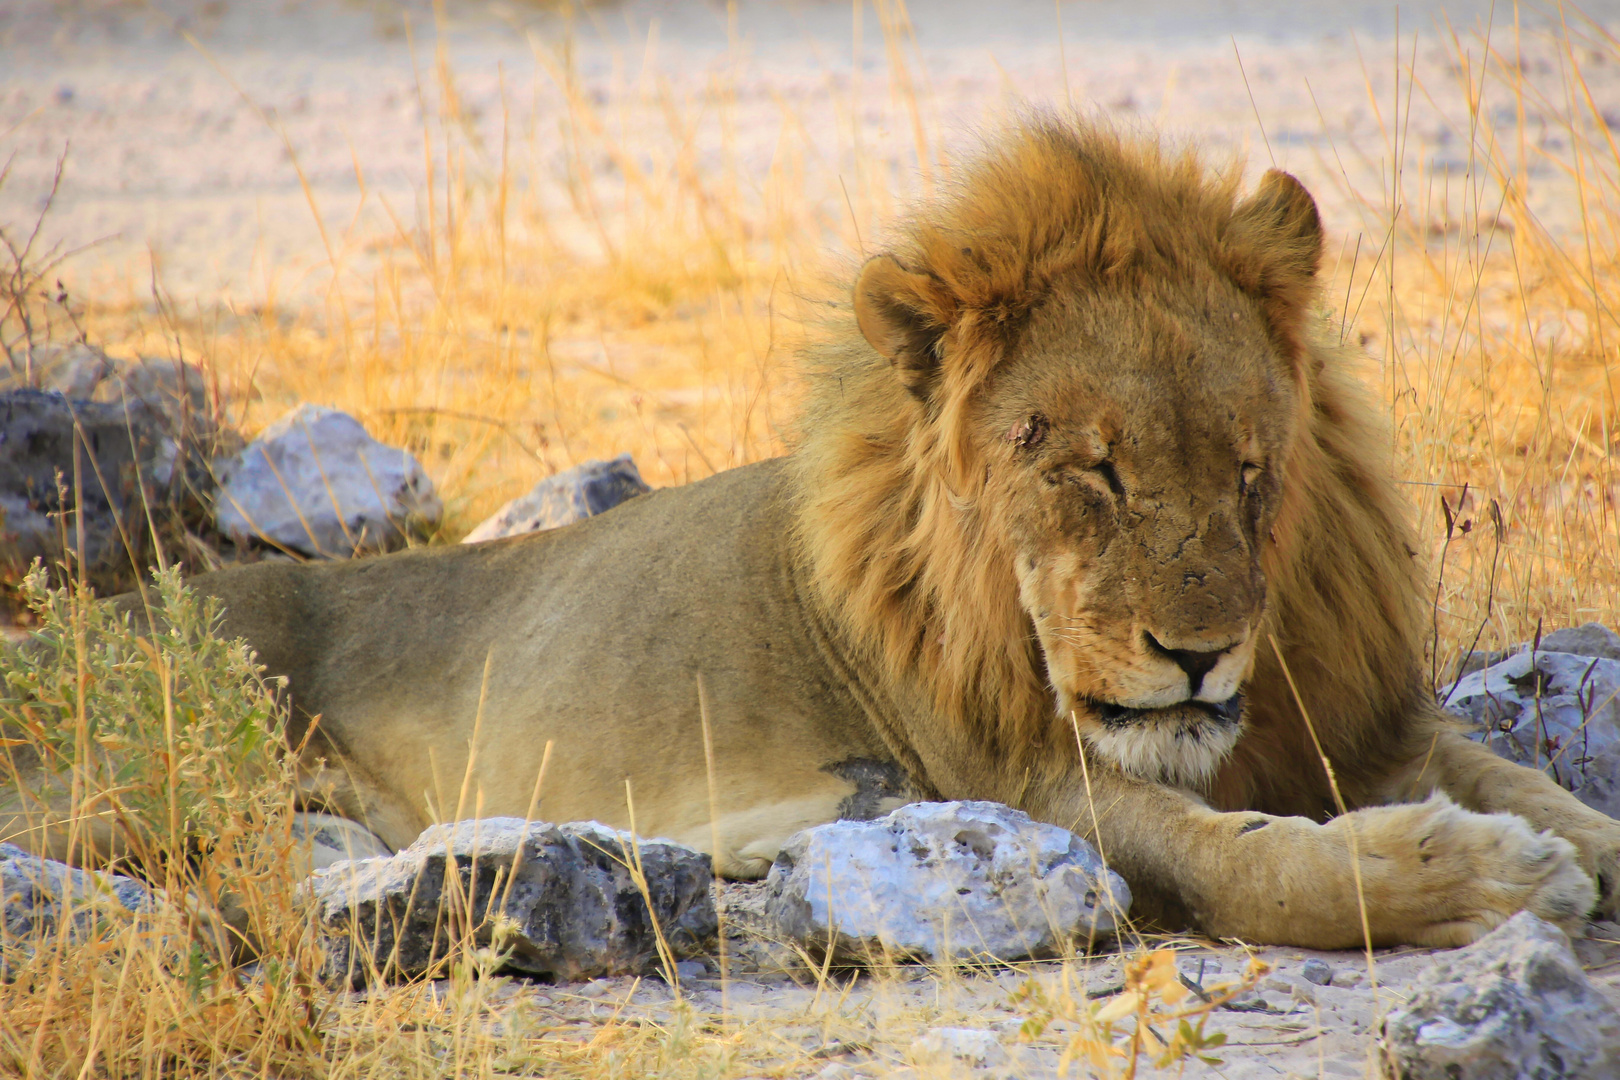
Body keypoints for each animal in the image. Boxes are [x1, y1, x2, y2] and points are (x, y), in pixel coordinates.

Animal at [12, 114, 1620, 952]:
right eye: (1090, 471)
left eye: (1248, 470)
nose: (1200, 654)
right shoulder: (1005, 778)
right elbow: (1244, 862)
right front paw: (1476, 879)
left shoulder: (1357, 720)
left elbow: (1540, 788)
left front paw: (1557, 843)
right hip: (129, 766)